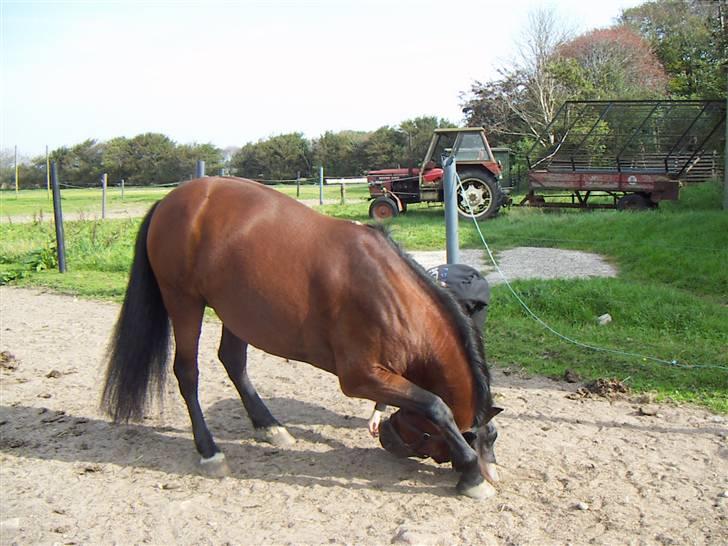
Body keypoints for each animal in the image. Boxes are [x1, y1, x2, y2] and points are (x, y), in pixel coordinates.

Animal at [101, 175, 500, 498]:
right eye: (478, 439)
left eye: (493, 438)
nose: (384, 435)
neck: (393, 294)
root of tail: (170, 200)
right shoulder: (360, 377)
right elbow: (435, 404)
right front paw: (471, 476)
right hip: (184, 301)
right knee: (187, 372)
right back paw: (210, 451)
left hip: (239, 311)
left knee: (234, 362)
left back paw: (269, 425)